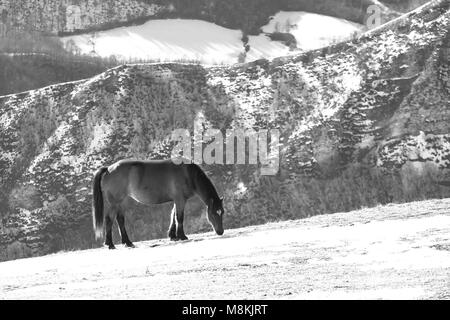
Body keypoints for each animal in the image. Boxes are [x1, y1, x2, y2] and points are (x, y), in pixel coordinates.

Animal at [92, 159, 225, 249]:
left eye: (222, 212)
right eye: (214, 214)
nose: (220, 232)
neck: (188, 173)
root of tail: (108, 169)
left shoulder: (177, 200)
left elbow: (173, 216)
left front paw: (173, 235)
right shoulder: (180, 200)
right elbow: (179, 217)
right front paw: (182, 236)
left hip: (121, 201)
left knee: (120, 219)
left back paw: (128, 242)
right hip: (115, 202)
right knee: (109, 219)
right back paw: (110, 244)